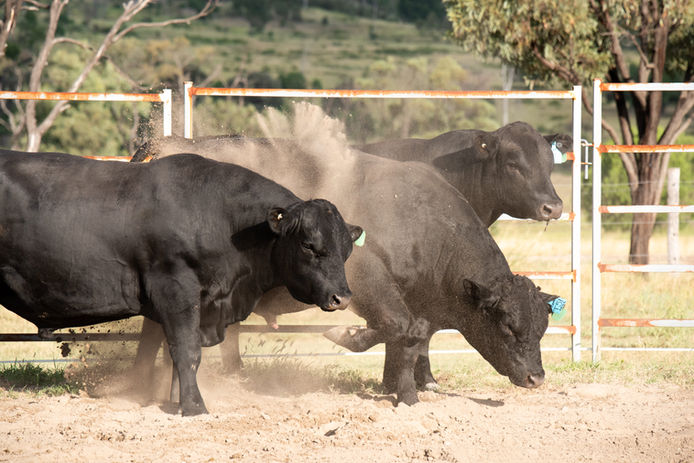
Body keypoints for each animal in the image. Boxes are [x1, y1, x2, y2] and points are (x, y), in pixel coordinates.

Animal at [0, 149, 361, 416]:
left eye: (346, 248)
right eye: (308, 244)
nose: (341, 298)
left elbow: (172, 355)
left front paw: (174, 400)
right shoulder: (175, 289)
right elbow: (186, 350)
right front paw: (194, 406)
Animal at [132, 104, 561, 405]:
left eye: (542, 327)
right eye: (508, 326)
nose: (536, 377)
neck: (418, 216)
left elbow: (411, 337)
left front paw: (405, 392)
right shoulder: (367, 279)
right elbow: (398, 328)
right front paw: (349, 338)